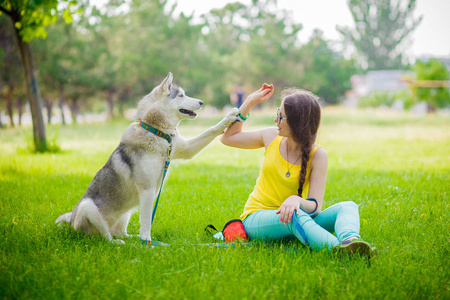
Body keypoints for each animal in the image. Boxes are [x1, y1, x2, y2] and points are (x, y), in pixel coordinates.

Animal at [55, 72, 239, 244]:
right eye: (180, 95)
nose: (201, 102)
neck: (156, 131)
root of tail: (70, 222)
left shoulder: (186, 149)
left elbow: (210, 130)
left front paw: (229, 117)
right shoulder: (147, 191)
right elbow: (146, 221)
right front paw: (147, 242)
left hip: (125, 213)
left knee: (120, 232)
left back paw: (132, 239)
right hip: (88, 207)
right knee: (105, 237)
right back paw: (120, 243)